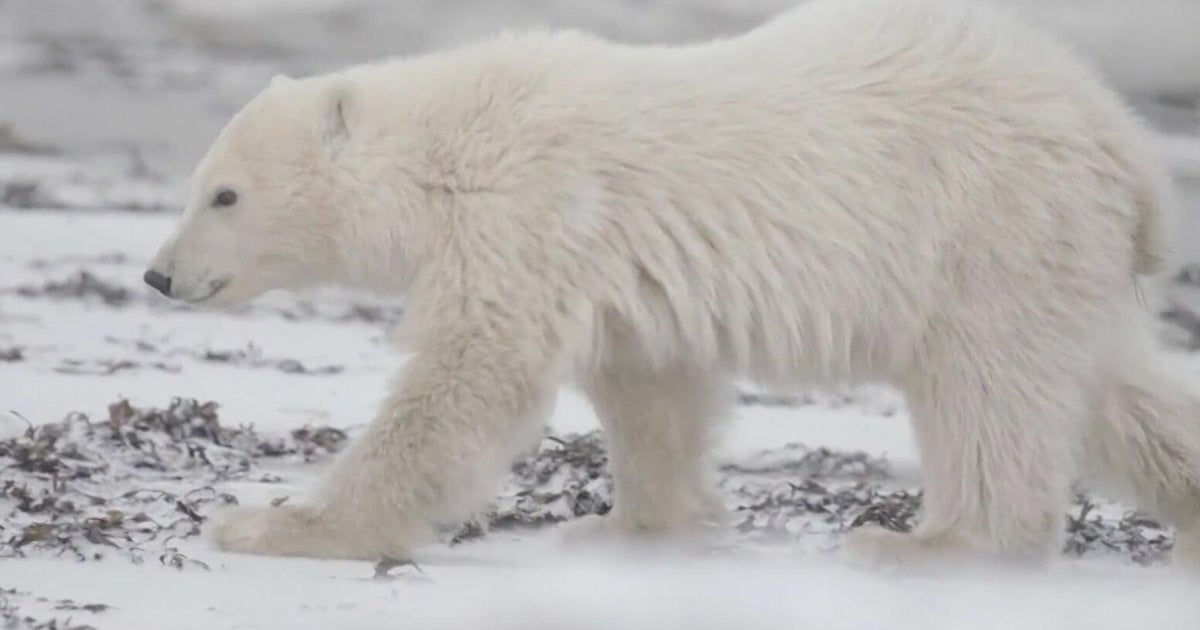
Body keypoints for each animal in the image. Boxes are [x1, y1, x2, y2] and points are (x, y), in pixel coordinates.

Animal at [144, 0, 1200, 566]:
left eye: (223, 192)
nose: (159, 274)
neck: (452, 142)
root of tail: (1116, 129)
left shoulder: (528, 213)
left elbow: (468, 377)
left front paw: (273, 522)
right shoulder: (612, 271)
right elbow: (652, 389)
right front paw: (632, 527)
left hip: (983, 224)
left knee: (988, 391)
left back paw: (930, 544)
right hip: (1056, 249)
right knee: (1111, 389)